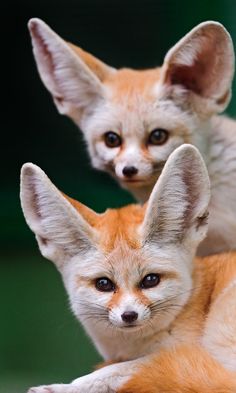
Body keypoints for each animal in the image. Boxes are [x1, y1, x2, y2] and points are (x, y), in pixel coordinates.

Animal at [20, 145, 236, 392]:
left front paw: (64, 387)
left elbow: (118, 370)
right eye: (103, 284)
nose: (129, 315)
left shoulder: (189, 352)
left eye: (151, 280)